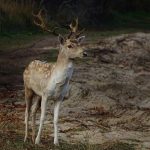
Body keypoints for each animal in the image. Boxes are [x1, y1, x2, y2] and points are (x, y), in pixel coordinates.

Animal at [23, 9, 86, 145]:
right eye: (69, 46)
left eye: (79, 43)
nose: (85, 53)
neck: (58, 83)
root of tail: (29, 64)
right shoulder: (46, 94)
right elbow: (43, 117)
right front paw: (38, 141)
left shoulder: (59, 97)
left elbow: (56, 119)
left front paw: (56, 142)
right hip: (28, 89)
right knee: (27, 111)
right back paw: (26, 138)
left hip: (38, 95)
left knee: (33, 111)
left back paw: (32, 136)